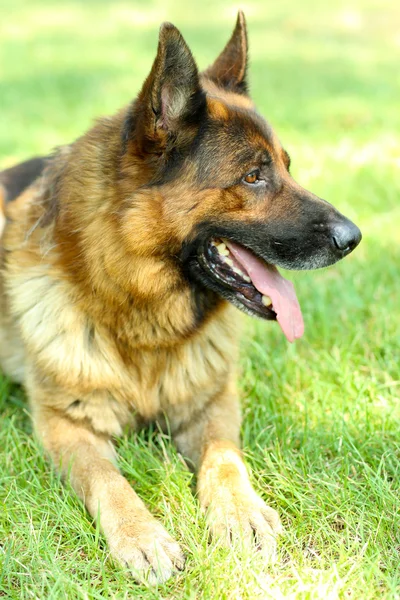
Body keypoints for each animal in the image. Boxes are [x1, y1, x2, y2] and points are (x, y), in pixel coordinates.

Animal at [0, 12, 360, 580]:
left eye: (287, 166)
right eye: (253, 177)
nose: (354, 238)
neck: (144, 321)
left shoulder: (214, 402)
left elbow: (225, 458)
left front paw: (242, 513)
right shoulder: (68, 426)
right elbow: (109, 480)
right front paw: (141, 536)